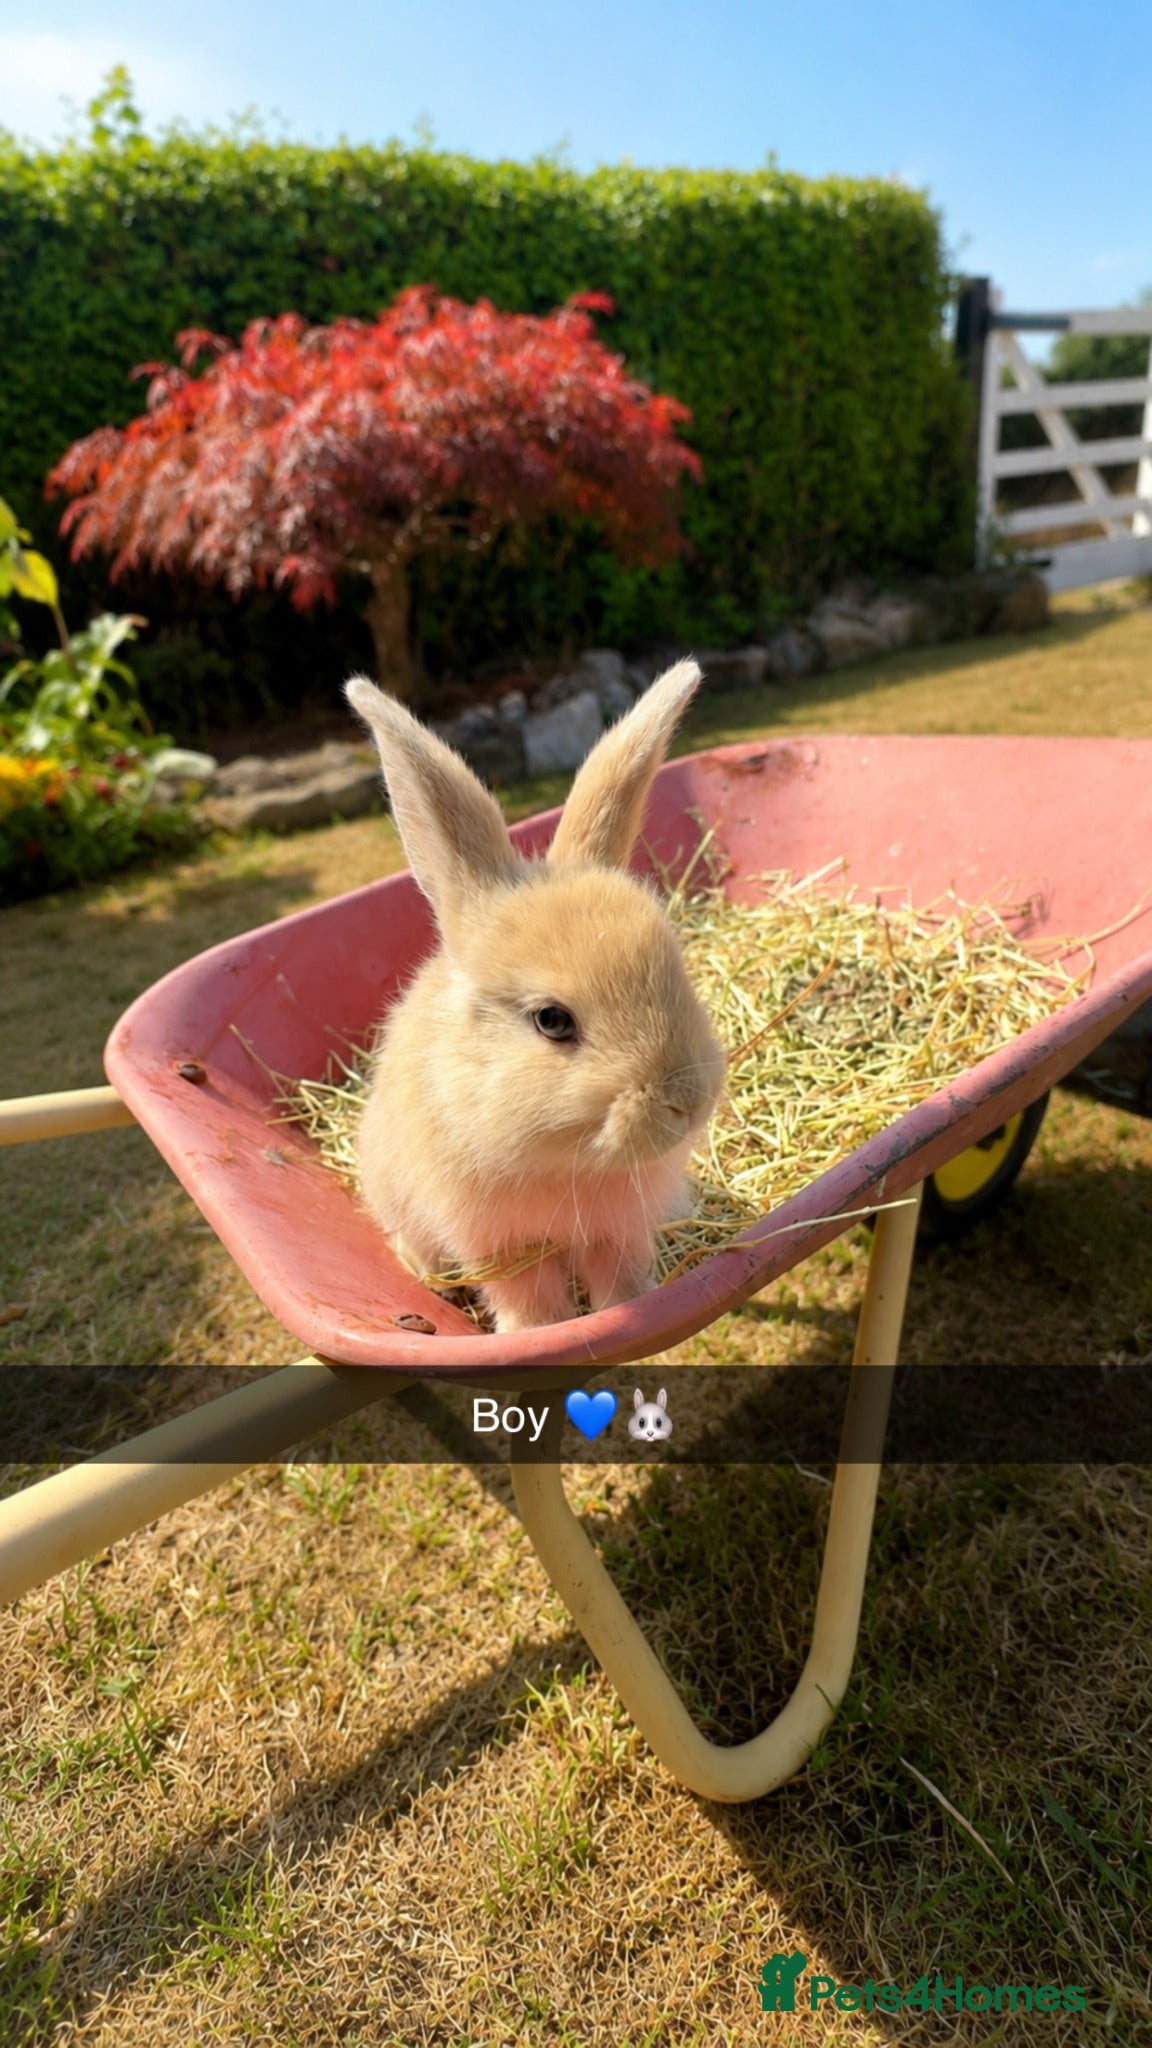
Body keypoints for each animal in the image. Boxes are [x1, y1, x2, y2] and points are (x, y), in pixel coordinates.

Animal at [344, 658, 726, 1334]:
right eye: (552, 1020)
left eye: (677, 971)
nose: (685, 1101)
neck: (565, 1163)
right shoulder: (500, 1245)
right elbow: (528, 1298)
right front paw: (540, 1334)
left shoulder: (618, 1233)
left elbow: (620, 1280)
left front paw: (634, 1309)